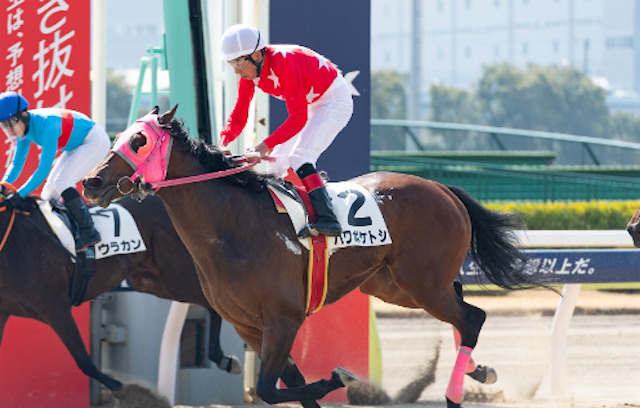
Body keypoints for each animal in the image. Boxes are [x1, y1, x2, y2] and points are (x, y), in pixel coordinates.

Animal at [0, 193, 240, 394]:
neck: (14, 242)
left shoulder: (56, 308)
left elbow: (83, 360)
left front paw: (120, 387)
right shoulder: (6, 314)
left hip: (176, 273)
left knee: (214, 304)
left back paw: (227, 357)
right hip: (156, 282)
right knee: (208, 304)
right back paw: (223, 357)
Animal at [80, 107, 540, 408]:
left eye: (138, 140)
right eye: (117, 137)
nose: (91, 182)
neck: (233, 227)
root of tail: (444, 189)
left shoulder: (283, 318)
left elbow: (271, 388)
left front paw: (341, 376)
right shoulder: (249, 326)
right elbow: (286, 383)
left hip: (422, 284)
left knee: (471, 317)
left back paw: (455, 393)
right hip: (396, 287)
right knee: (465, 311)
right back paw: (479, 371)